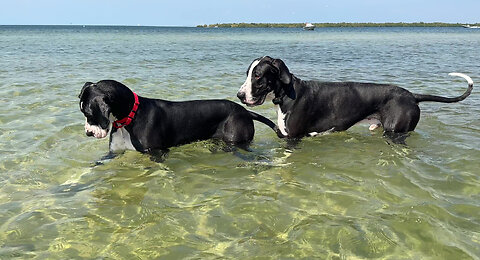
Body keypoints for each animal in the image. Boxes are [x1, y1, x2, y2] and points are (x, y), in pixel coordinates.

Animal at [79, 79, 280, 152]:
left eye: (88, 112)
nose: (88, 132)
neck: (129, 118)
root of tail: (245, 111)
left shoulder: (157, 152)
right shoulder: (114, 153)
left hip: (237, 141)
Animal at [236, 55, 472, 142]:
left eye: (258, 76)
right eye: (247, 73)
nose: (239, 95)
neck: (287, 93)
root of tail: (412, 95)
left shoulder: (293, 138)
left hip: (395, 132)